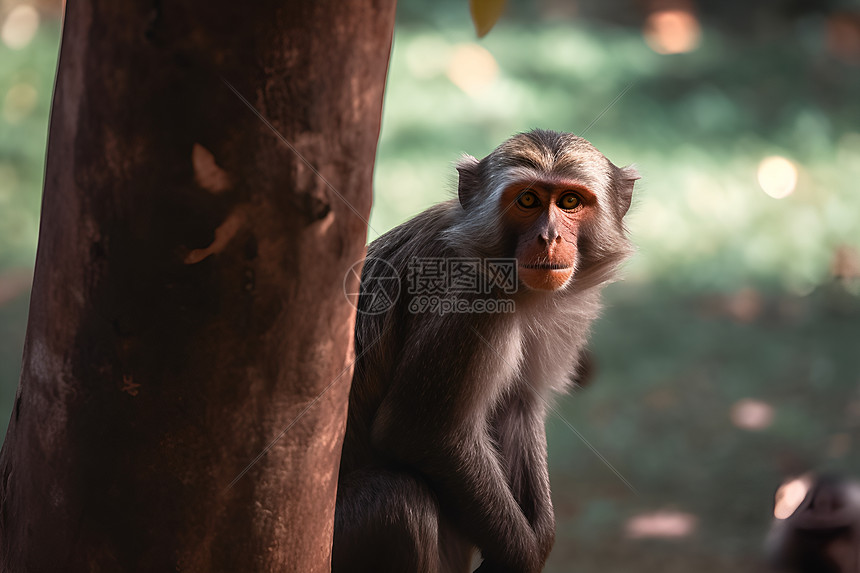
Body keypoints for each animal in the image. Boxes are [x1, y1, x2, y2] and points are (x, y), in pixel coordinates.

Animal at [332, 130, 640, 572]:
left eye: (569, 201)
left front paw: (540, 541)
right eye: (527, 200)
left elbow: (517, 406)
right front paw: (520, 557)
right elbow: (419, 430)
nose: (549, 238)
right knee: (398, 500)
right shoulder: (474, 301)